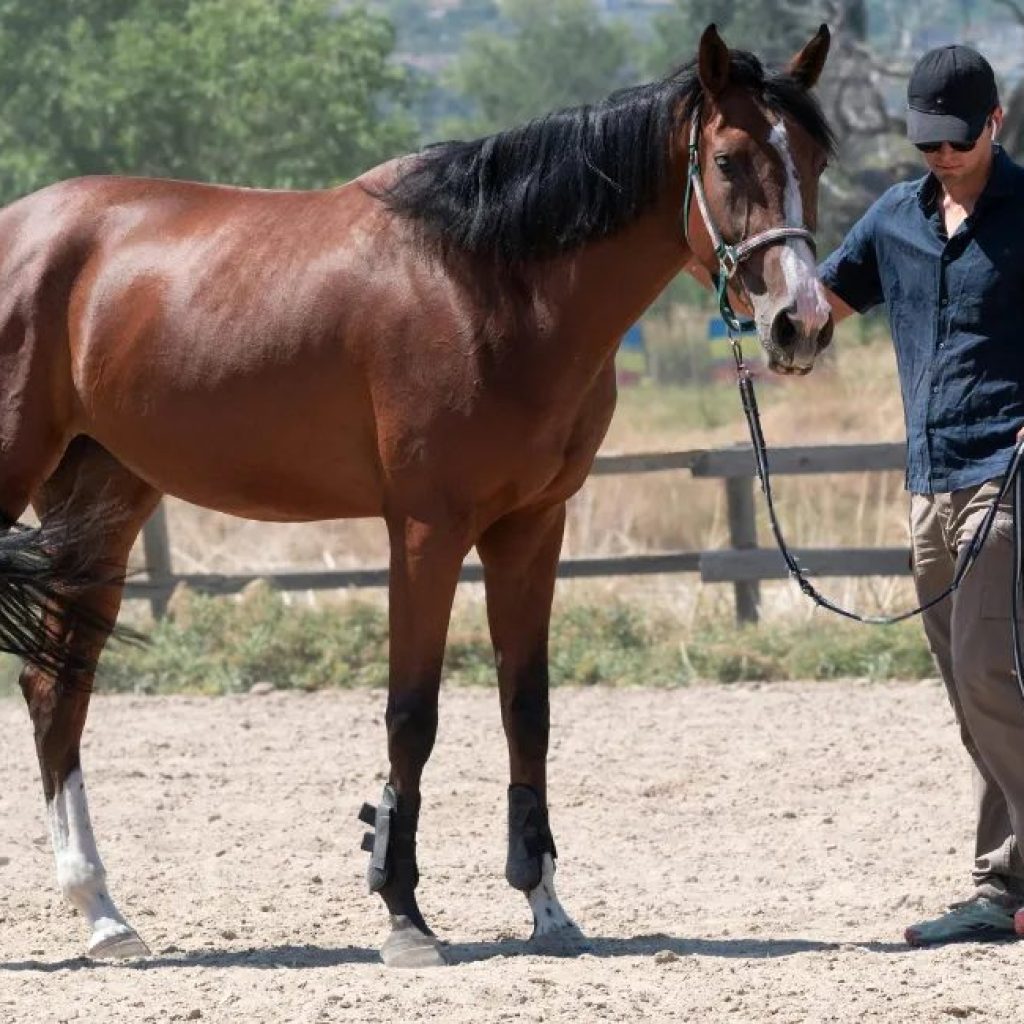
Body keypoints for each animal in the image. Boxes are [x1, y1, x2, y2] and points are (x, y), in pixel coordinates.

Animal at [0, 24, 834, 968]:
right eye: (728, 160)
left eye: (815, 156)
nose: (802, 323)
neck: (492, 286)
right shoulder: (426, 531)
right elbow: (413, 714)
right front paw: (402, 912)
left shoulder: (531, 529)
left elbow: (527, 709)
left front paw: (547, 907)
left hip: (101, 507)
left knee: (55, 690)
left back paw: (104, 914)